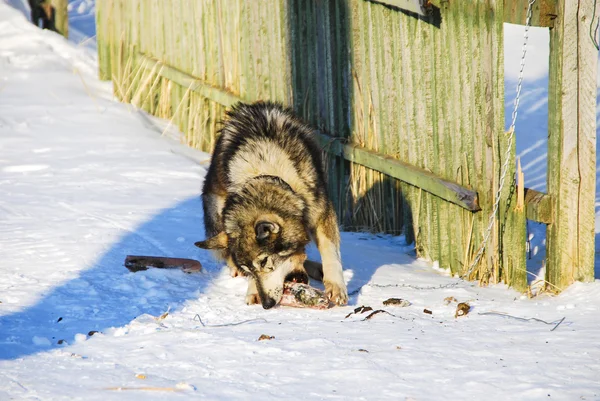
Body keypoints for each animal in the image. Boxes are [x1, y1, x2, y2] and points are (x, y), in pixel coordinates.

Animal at [197, 101, 346, 308]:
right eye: (250, 270)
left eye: (264, 261)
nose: (267, 304)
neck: (267, 173)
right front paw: (253, 290)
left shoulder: (321, 211)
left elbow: (330, 250)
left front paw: (336, 287)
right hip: (216, 208)